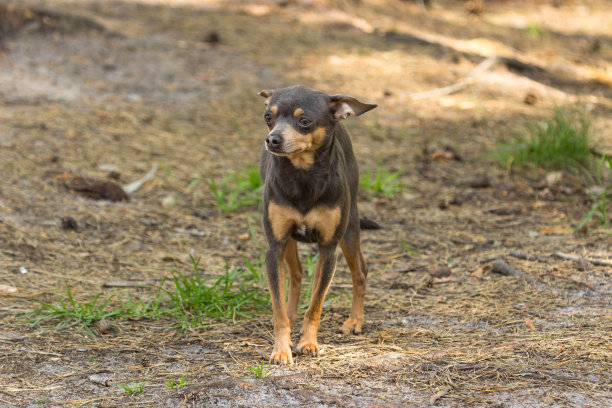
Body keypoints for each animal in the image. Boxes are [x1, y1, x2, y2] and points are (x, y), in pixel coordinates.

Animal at [256, 85, 378, 364]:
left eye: (304, 121)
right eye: (268, 117)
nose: (272, 139)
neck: (303, 176)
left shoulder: (328, 250)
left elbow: (315, 305)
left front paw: (308, 343)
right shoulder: (274, 247)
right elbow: (278, 307)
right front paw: (282, 349)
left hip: (349, 230)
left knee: (360, 272)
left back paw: (354, 321)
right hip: (289, 242)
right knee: (297, 275)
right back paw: (293, 317)